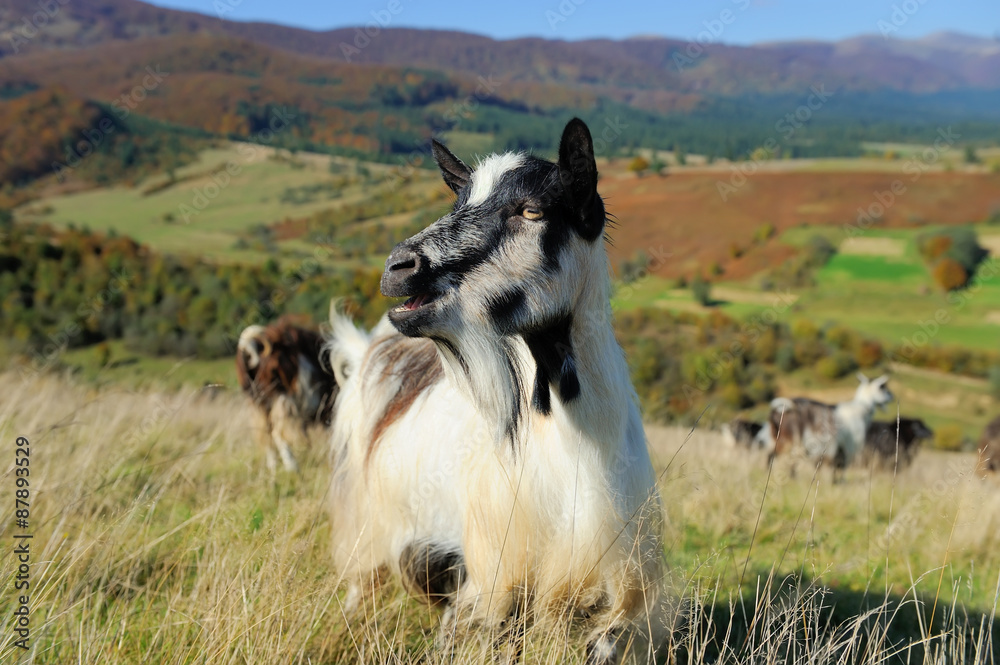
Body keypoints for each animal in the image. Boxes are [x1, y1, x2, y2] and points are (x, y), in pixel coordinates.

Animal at [235, 318, 340, 470]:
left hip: (261, 403)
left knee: (266, 432)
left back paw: (273, 466)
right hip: (283, 400)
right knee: (278, 433)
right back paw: (292, 467)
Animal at [328, 120, 668, 664]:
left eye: (532, 210)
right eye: (458, 202)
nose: (398, 267)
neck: (575, 444)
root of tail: (372, 345)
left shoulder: (614, 579)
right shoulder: (494, 572)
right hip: (370, 514)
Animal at [768, 374, 896, 478]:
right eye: (883, 388)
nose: (892, 396)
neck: (860, 409)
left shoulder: (838, 446)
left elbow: (836, 465)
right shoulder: (849, 444)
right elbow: (842, 466)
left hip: (781, 439)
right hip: (792, 441)